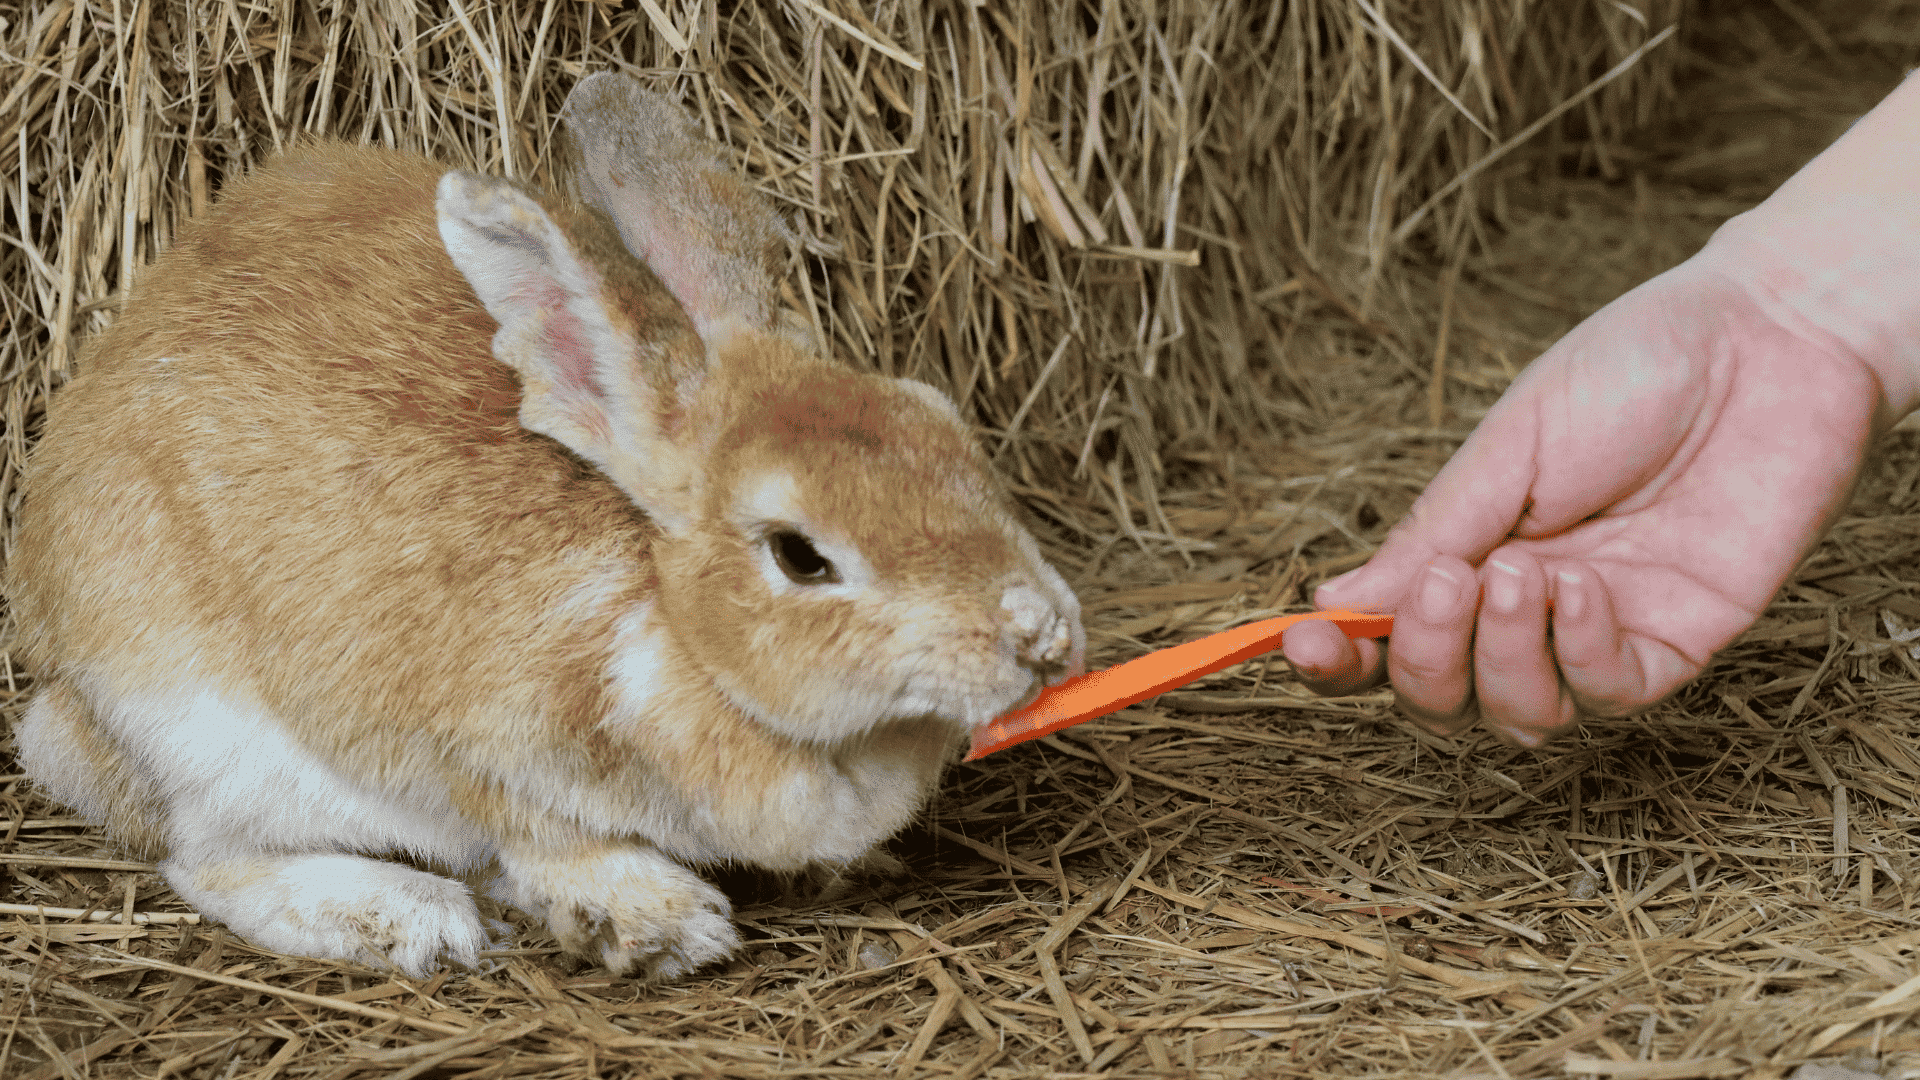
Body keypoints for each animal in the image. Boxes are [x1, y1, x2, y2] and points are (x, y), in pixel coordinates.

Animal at [5, 72, 1083, 982]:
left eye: (943, 425)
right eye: (800, 555)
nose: (1042, 633)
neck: (670, 627)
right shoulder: (478, 755)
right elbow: (541, 838)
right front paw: (653, 920)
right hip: (209, 737)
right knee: (204, 859)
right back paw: (403, 916)